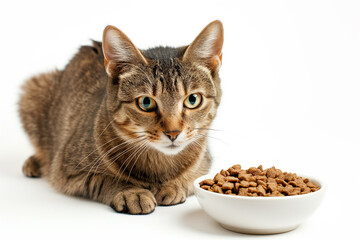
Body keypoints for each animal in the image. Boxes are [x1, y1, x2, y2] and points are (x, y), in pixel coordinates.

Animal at [18, 20, 224, 214]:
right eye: (146, 102)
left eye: (192, 99)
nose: (173, 133)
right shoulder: (66, 170)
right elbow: (102, 179)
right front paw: (131, 192)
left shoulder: (205, 163)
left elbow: (190, 179)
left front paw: (171, 186)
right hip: (33, 91)